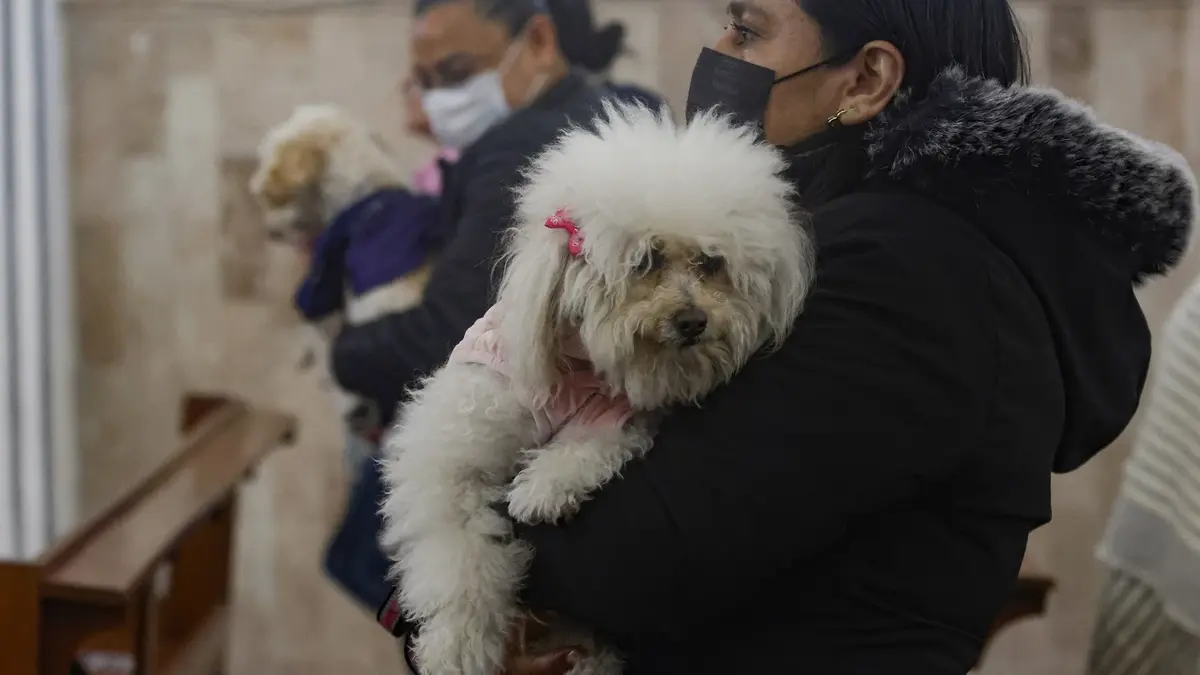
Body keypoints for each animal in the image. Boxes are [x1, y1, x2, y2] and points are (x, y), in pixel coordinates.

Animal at [384, 100, 816, 672]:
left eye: (711, 262)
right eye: (646, 260)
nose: (693, 321)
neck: (584, 368)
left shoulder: (622, 415)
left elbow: (590, 446)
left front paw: (542, 490)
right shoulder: (454, 452)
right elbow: (458, 557)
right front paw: (458, 647)